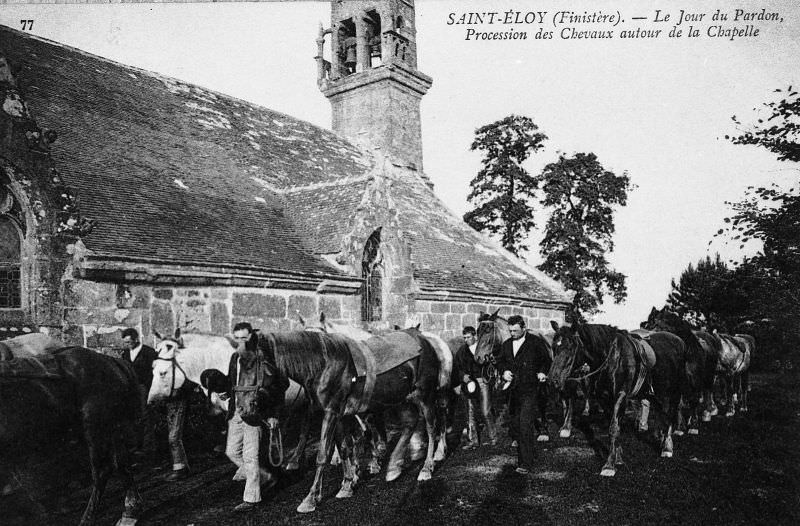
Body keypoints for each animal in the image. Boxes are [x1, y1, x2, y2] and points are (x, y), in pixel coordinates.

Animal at [0, 344, 142, 524]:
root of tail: (110, 360)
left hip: (95, 428)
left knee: (103, 470)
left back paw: (88, 519)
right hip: (109, 427)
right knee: (122, 462)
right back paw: (130, 511)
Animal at [231, 330, 444, 516]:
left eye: (250, 365)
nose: (241, 409)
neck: (323, 365)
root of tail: (424, 340)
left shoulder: (331, 412)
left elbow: (323, 455)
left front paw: (311, 499)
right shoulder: (341, 415)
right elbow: (344, 449)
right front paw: (348, 484)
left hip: (424, 395)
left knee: (431, 428)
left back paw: (426, 467)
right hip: (402, 398)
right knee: (409, 424)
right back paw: (394, 467)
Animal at [552, 322, 688, 478]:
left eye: (570, 347)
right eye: (554, 347)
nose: (553, 380)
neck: (612, 358)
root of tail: (680, 341)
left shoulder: (621, 395)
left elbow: (614, 428)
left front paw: (609, 465)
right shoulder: (605, 399)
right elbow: (614, 427)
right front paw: (618, 458)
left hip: (673, 392)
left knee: (671, 414)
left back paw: (667, 447)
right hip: (656, 394)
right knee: (663, 414)